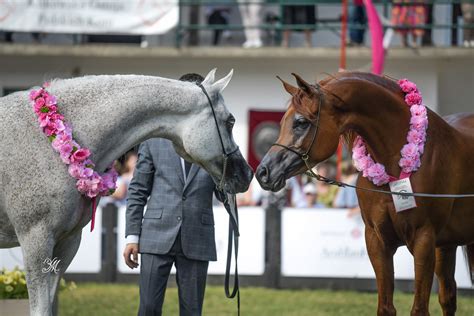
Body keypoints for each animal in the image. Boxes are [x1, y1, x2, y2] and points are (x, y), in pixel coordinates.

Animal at [258, 72, 472, 316]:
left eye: (301, 123)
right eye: (282, 122)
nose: (263, 172)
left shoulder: (424, 239)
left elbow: (419, 309)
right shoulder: (377, 240)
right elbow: (386, 308)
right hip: (446, 246)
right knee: (448, 297)